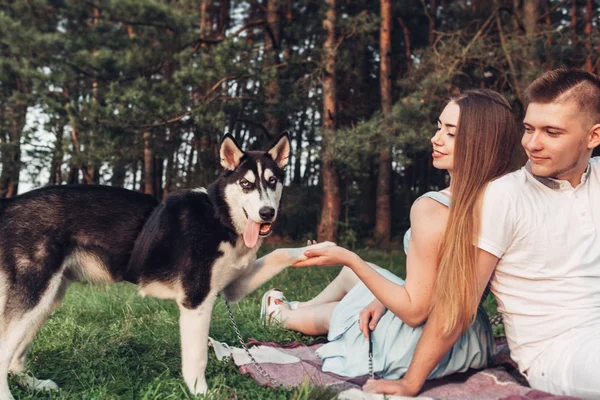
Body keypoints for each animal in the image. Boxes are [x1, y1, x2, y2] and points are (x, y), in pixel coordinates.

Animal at [0, 133, 332, 398]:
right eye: (246, 184)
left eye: (272, 182)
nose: (266, 213)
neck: (219, 216)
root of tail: (11, 204)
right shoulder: (196, 301)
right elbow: (197, 358)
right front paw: (201, 392)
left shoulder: (234, 286)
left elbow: (281, 253)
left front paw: (320, 249)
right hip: (34, 296)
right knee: (5, 350)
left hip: (47, 300)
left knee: (15, 358)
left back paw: (33, 383)